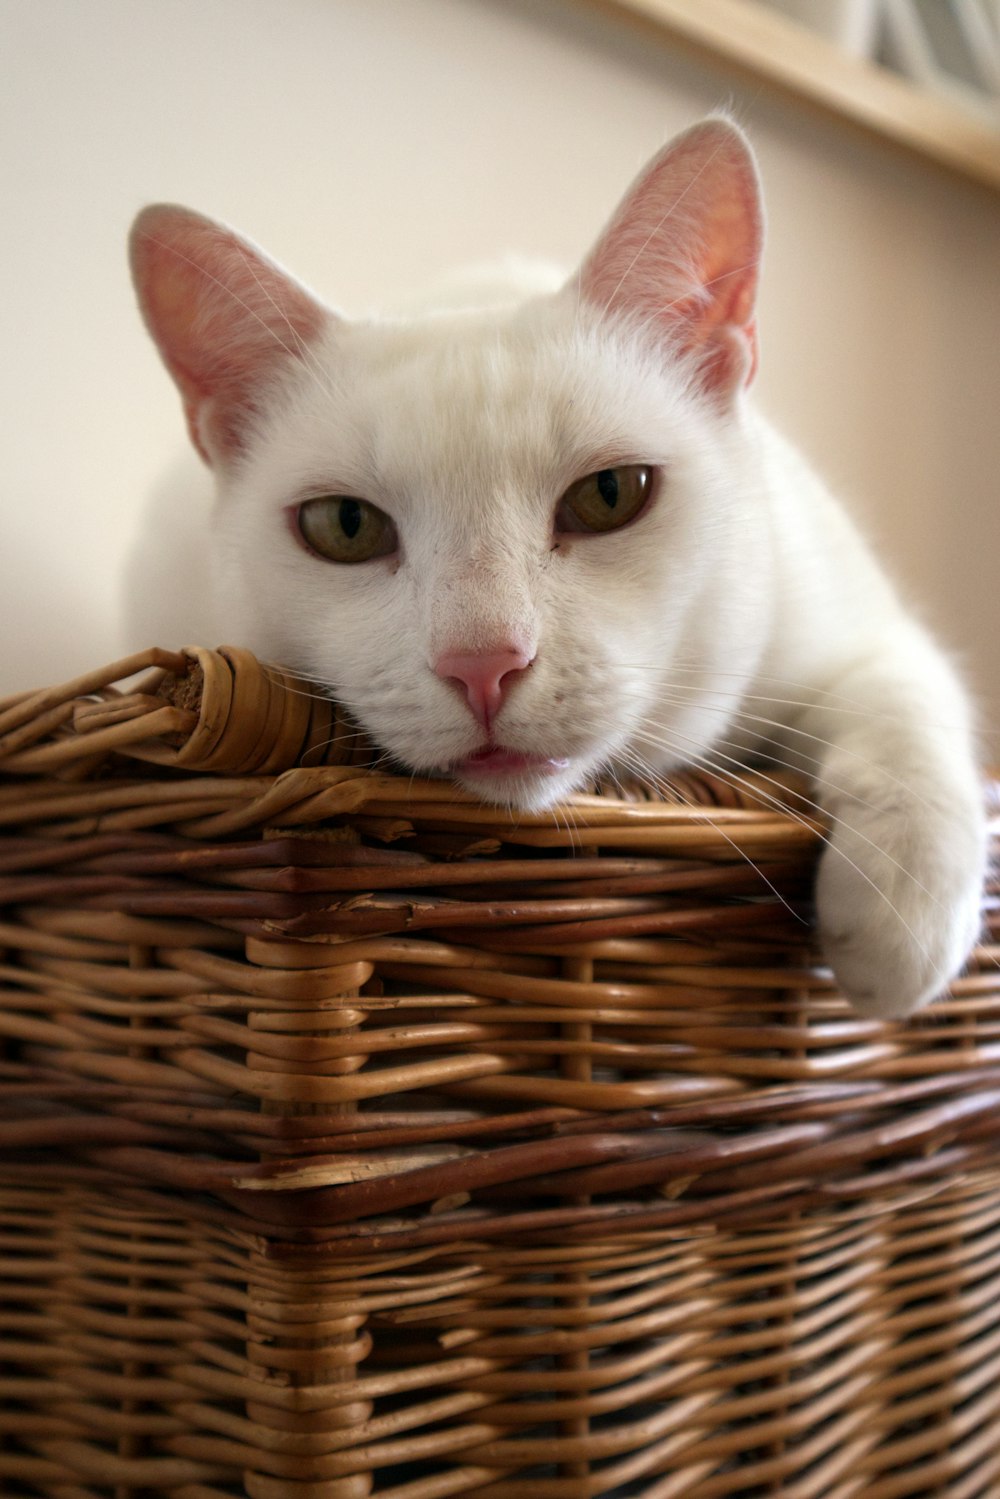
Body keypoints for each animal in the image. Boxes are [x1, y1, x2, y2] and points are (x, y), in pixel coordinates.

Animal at [131, 116, 983, 1019]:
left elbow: (906, 693)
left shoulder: (848, 612)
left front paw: (904, 910)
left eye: (611, 493)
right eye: (346, 525)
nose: (483, 664)